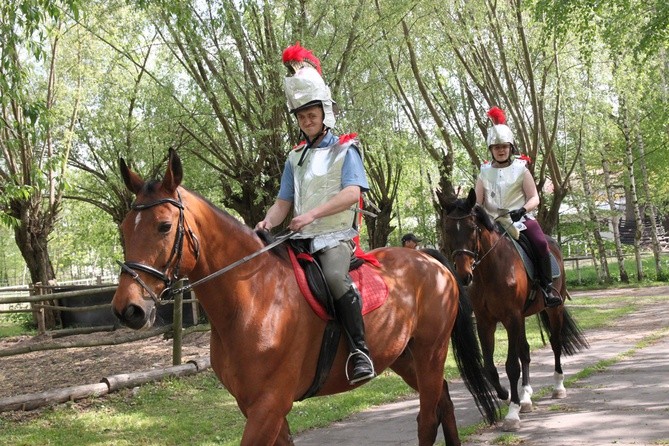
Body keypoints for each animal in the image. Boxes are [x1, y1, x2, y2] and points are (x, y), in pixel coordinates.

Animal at [111, 151, 496, 446]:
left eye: (163, 226)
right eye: (124, 229)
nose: (128, 309)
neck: (253, 298)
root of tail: (431, 261)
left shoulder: (269, 405)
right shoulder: (257, 407)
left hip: (431, 352)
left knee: (428, 417)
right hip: (404, 356)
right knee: (443, 401)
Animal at [440, 188, 588, 432]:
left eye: (473, 228)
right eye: (447, 229)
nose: (464, 275)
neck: (490, 270)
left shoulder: (511, 318)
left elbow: (511, 365)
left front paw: (512, 414)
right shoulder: (486, 321)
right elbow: (490, 367)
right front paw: (507, 395)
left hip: (553, 310)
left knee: (555, 343)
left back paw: (558, 387)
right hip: (522, 318)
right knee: (525, 351)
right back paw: (526, 397)